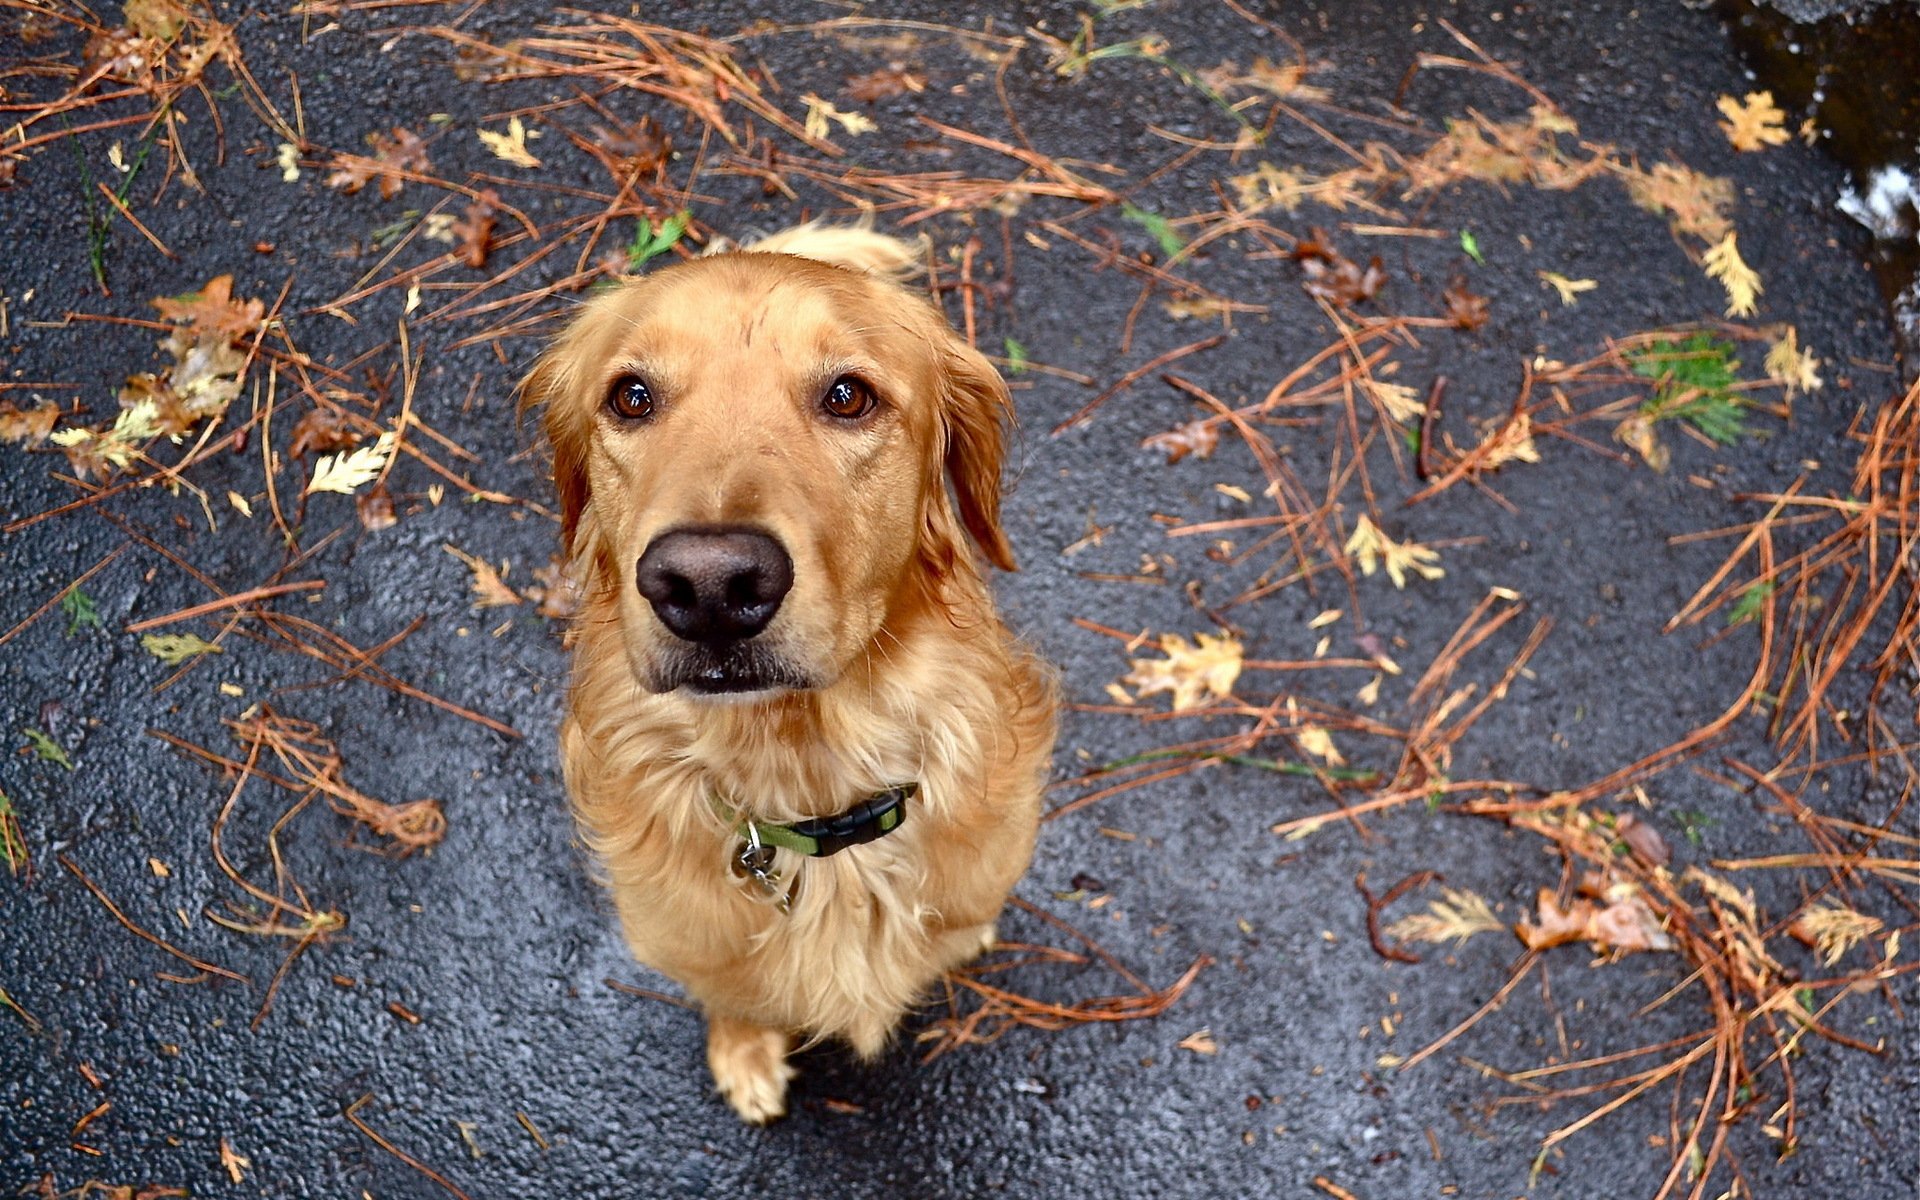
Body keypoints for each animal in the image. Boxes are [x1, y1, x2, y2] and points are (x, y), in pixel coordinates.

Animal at [526, 219, 1059, 1121]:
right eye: (631, 397)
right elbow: (737, 996)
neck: (806, 778)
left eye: (848, 396)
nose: (708, 584)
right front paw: (744, 1052)